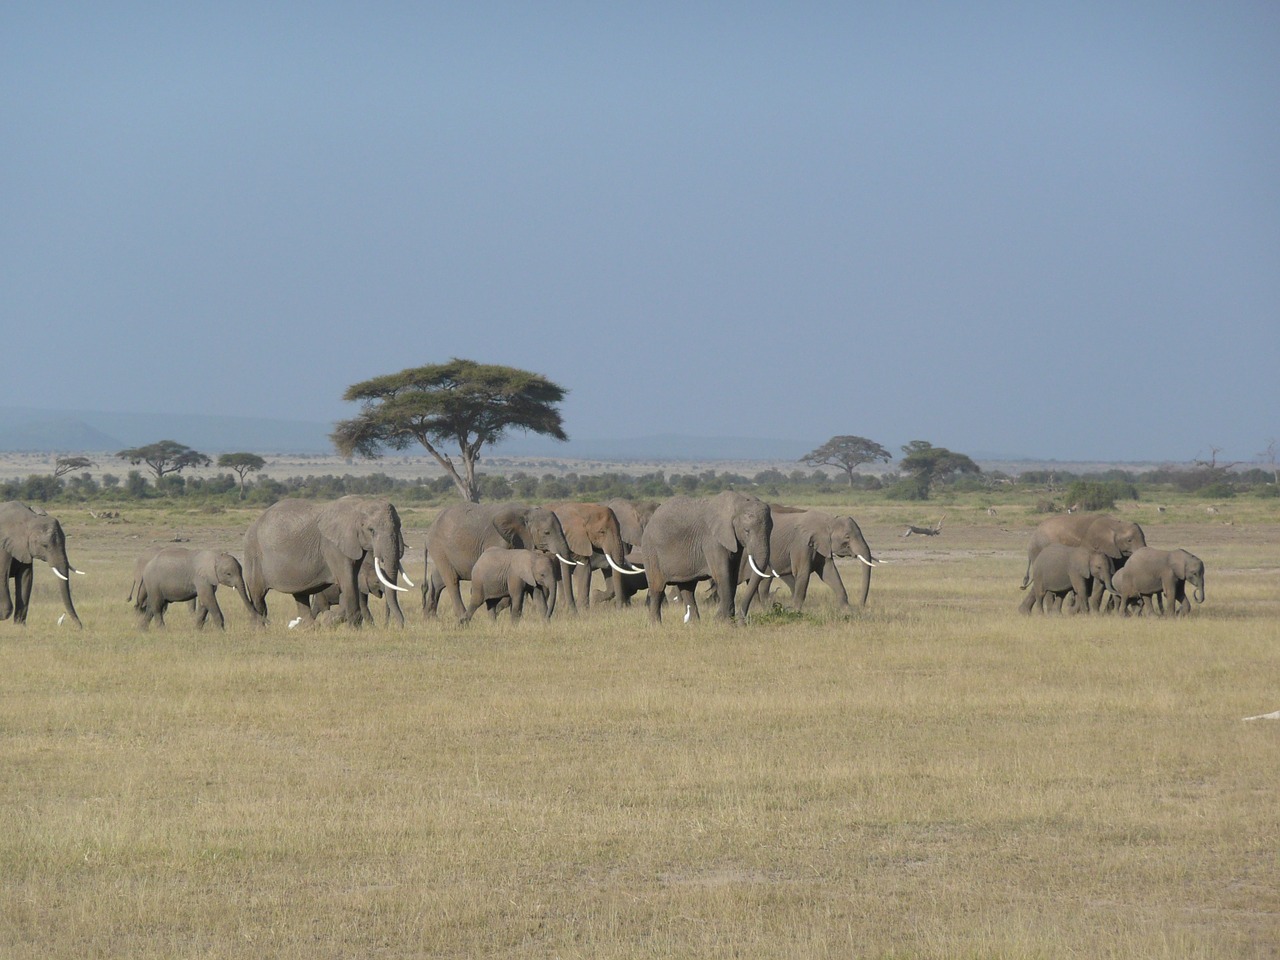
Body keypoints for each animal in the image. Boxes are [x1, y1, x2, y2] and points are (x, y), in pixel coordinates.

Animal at [0, 504, 82, 632]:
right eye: (45, 545)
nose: (80, 627)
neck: (30, 518)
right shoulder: (3, 547)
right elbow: (2, 575)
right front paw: (3, 615)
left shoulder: (24, 548)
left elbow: (26, 578)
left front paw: (20, 626)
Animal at [241, 499, 407, 627]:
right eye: (371, 530)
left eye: (400, 525)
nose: (398, 628)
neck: (359, 504)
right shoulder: (333, 547)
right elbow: (348, 583)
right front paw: (353, 629)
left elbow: (351, 581)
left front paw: (333, 621)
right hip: (253, 554)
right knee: (258, 596)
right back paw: (259, 628)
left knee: (300, 595)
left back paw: (310, 627)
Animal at [422, 504, 573, 624]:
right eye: (546, 532)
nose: (574, 614)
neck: (526, 511)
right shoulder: (498, 539)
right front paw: (498, 610)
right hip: (438, 546)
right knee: (452, 580)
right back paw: (462, 618)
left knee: (438, 580)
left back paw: (430, 617)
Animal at [742, 512, 880, 616]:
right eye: (847, 537)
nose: (861, 607)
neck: (828, 521)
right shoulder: (801, 544)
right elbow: (803, 573)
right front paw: (795, 613)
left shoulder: (821, 545)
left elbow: (829, 573)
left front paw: (848, 612)